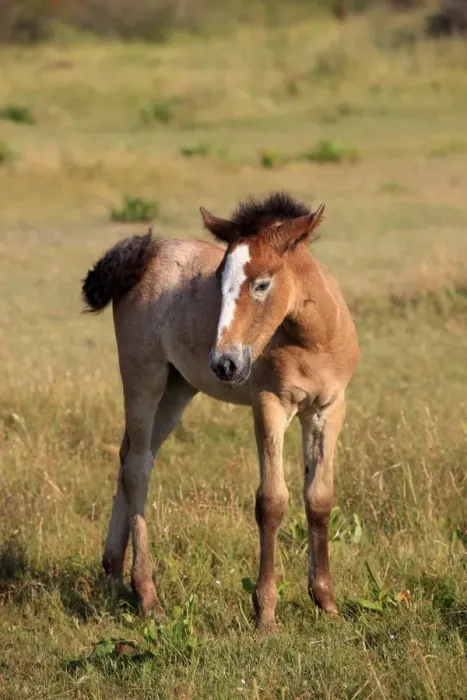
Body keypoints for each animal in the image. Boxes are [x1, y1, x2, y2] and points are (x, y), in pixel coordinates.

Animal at [82, 191, 360, 633]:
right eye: (218, 280)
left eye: (262, 283)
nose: (224, 363)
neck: (312, 340)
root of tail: (145, 255)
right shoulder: (269, 405)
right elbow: (272, 500)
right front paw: (265, 614)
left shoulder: (329, 409)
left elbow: (319, 497)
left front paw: (327, 603)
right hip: (144, 378)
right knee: (138, 467)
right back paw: (148, 596)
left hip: (178, 389)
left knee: (130, 457)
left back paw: (112, 574)